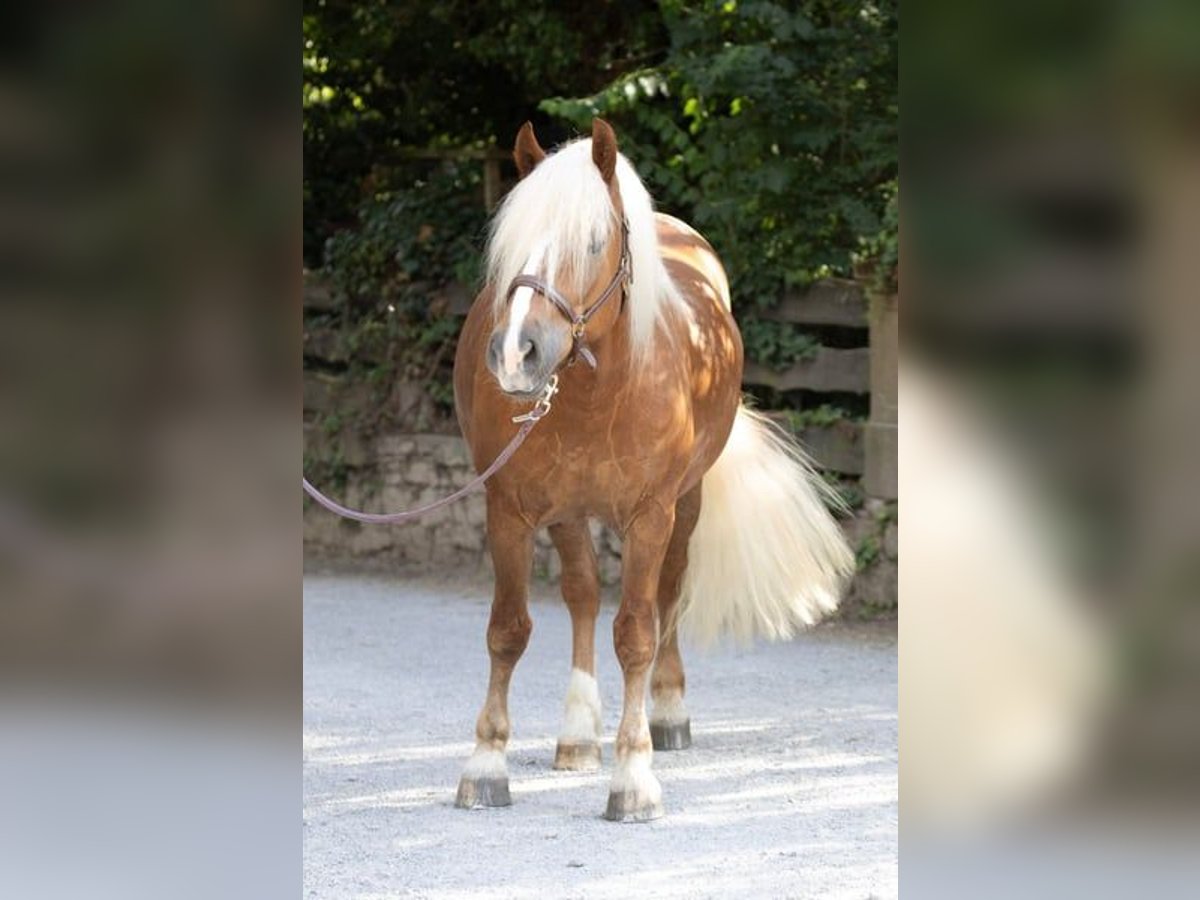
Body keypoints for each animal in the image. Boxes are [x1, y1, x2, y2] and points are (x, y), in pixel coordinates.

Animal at [452, 119, 853, 821]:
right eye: (509, 244)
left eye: (592, 241)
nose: (518, 354)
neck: (596, 392)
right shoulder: (509, 509)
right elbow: (508, 630)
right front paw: (486, 764)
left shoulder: (650, 515)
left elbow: (637, 631)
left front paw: (632, 777)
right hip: (569, 513)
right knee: (583, 593)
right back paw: (577, 734)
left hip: (684, 506)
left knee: (666, 598)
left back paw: (667, 714)